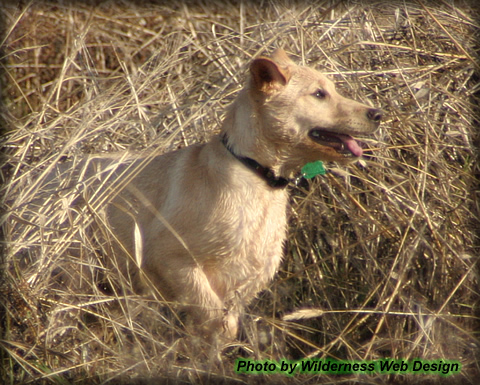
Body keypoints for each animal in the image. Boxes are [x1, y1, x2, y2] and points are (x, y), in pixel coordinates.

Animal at [36, 48, 382, 340]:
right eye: (319, 94)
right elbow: (214, 318)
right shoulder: (171, 259)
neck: (256, 175)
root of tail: (45, 173)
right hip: (72, 271)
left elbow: (225, 327)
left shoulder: (245, 280)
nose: (377, 114)